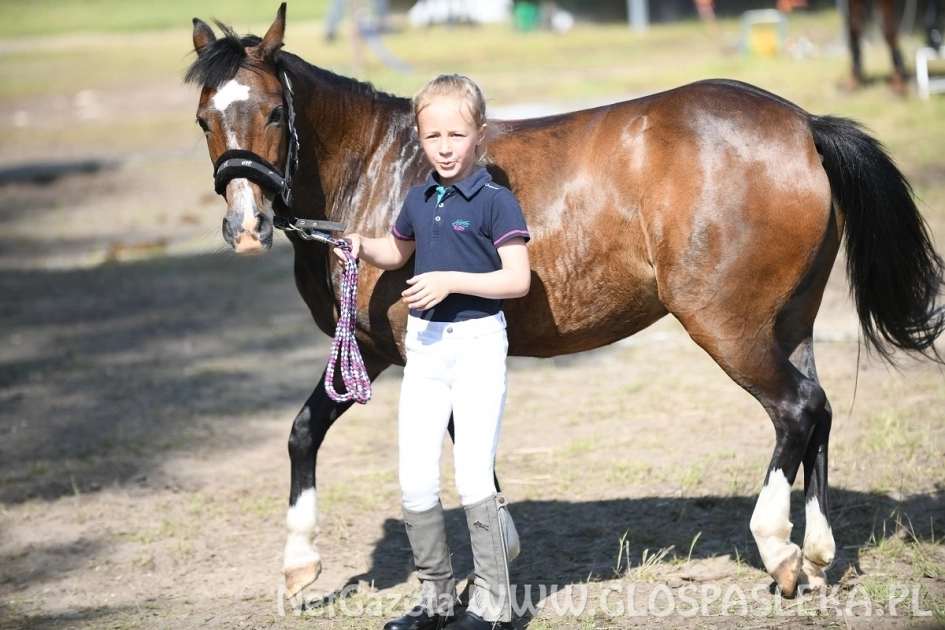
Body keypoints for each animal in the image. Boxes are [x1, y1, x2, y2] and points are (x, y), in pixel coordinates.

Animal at [186, 4, 944, 604]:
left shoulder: (423, 348)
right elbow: (305, 432)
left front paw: (496, 555)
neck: (382, 170)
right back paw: (816, 554)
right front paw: (298, 565)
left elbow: (464, 450)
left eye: (275, 112)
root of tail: (802, 125)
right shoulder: (369, 351)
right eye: (203, 120)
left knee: (795, 410)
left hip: (729, 329)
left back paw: (780, 549)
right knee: (820, 411)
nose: (246, 226)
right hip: (788, 323)